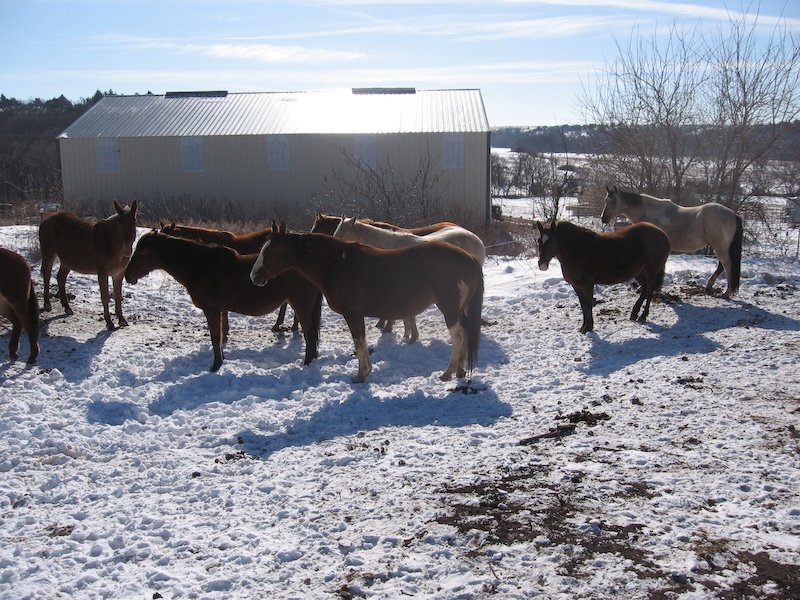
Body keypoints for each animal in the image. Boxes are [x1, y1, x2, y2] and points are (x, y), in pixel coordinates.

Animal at [39, 200, 138, 330]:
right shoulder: (103, 273)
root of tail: (46, 219)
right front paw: (109, 322)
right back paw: (47, 304)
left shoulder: (118, 274)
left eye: (134, 222)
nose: (127, 251)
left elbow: (117, 296)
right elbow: (105, 297)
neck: (110, 244)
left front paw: (121, 320)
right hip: (49, 254)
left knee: (60, 278)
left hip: (67, 261)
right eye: (119, 223)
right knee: (46, 276)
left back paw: (67, 307)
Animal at [536, 220, 670, 334]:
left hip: (651, 271)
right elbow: (583, 306)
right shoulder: (577, 286)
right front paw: (585, 326)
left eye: (552, 241)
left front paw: (588, 327)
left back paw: (643, 316)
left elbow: (587, 305)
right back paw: (634, 313)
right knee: (645, 289)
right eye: (539, 241)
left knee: (650, 290)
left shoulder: (587, 285)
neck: (579, 250)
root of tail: (662, 233)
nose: (542, 264)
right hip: (640, 273)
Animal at [601, 185, 743, 297]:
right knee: (722, 266)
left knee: (728, 265)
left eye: (613, 200)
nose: (603, 218)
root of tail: (733, 215)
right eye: (606, 200)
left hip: (720, 247)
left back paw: (727, 292)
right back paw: (710, 287)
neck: (650, 213)